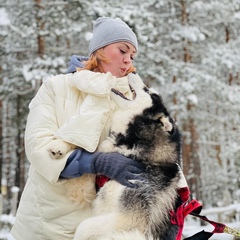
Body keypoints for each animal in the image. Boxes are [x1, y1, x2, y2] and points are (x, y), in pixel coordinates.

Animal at [48, 74, 184, 239]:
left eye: (148, 91)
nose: (133, 72)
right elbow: (88, 152)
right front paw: (60, 145)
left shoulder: (129, 218)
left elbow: (83, 227)